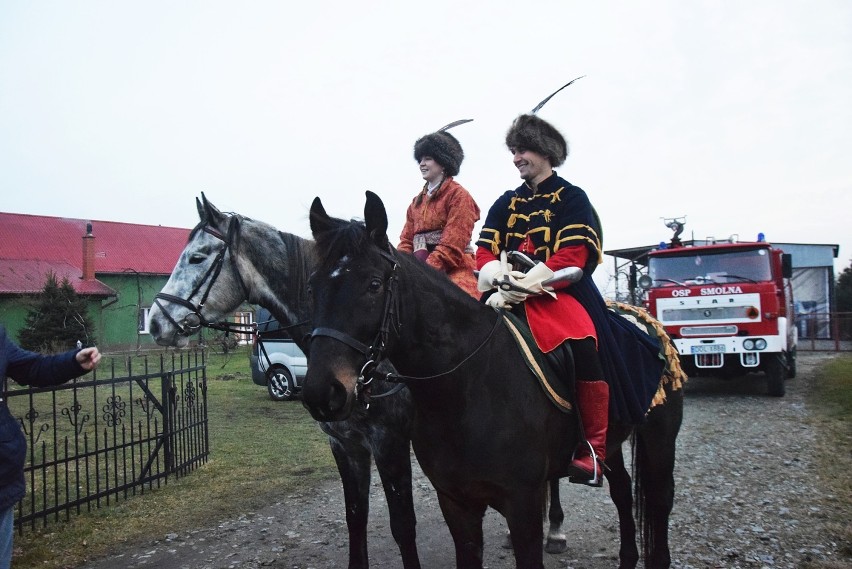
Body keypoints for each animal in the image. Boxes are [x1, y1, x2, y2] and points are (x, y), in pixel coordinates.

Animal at [149, 195, 422, 568]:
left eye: (197, 257)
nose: (155, 322)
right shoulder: (345, 445)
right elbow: (355, 517)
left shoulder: (389, 443)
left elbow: (403, 526)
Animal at [302, 192, 684, 568]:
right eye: (312, 286)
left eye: (374, 284)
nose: (322, 392)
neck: (466, 387)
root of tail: (645, 321)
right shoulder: (456, 504)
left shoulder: (523, 505)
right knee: (621, 491)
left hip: (660, 440)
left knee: (661, 500)